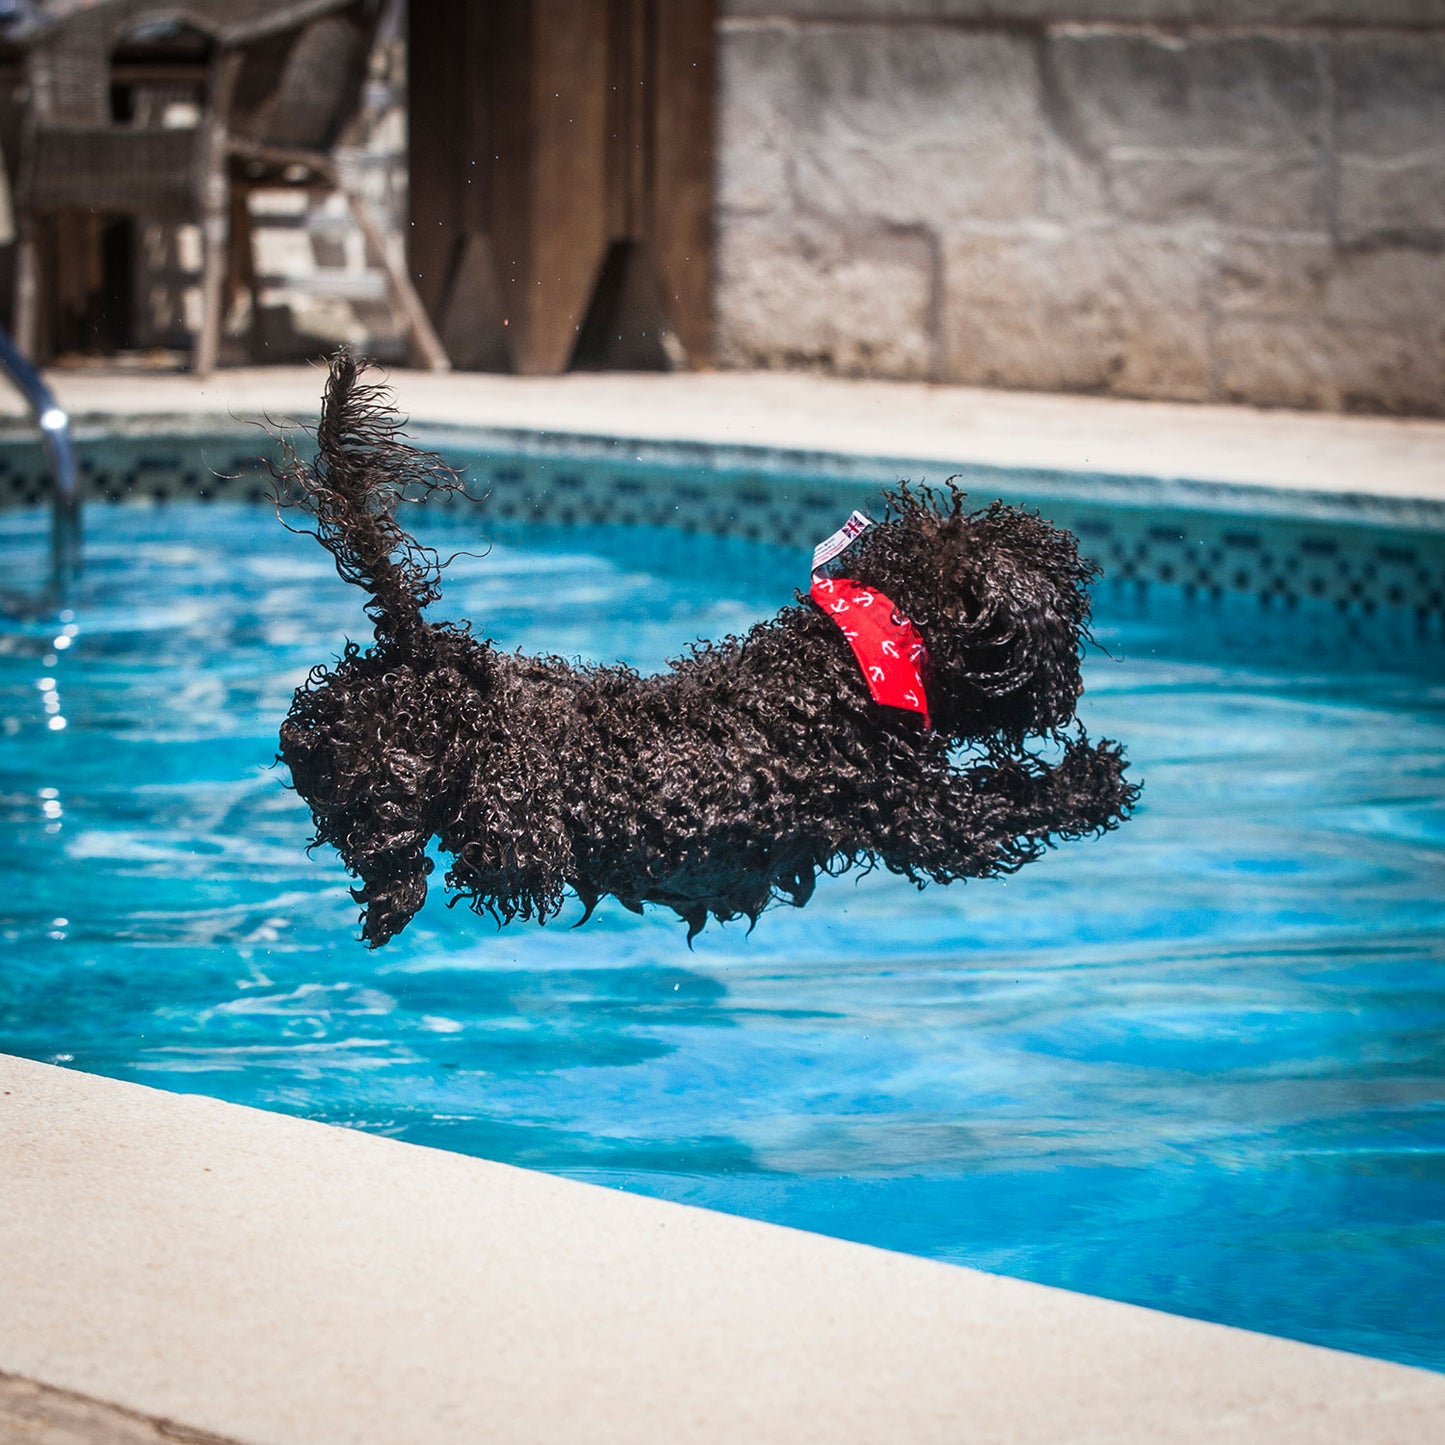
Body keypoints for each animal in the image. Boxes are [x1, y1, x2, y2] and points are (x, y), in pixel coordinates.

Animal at [278, 356, 1138, 947]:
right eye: (1064, 622)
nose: (1069, 689)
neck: (852, 660)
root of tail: (430, 651)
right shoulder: (921, 816)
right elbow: (1008, 803)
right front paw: (1093, 779)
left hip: (351, 721)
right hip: (435, 783)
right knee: (384, 823)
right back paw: (393, 890)